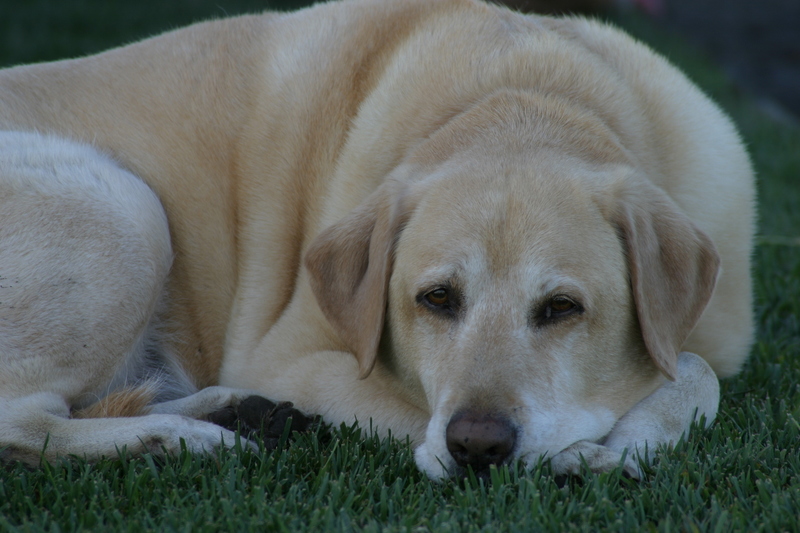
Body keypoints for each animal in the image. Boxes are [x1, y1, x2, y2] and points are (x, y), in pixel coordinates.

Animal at [0, 0, 754, 479]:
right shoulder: (296, 360)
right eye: (437, 298)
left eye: (563, 307)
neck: (530, 94)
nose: (477, 446)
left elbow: (696, 367)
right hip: (126, 208)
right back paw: (176, 438)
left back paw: (231, 411)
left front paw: (623, 443)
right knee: (22, 421)